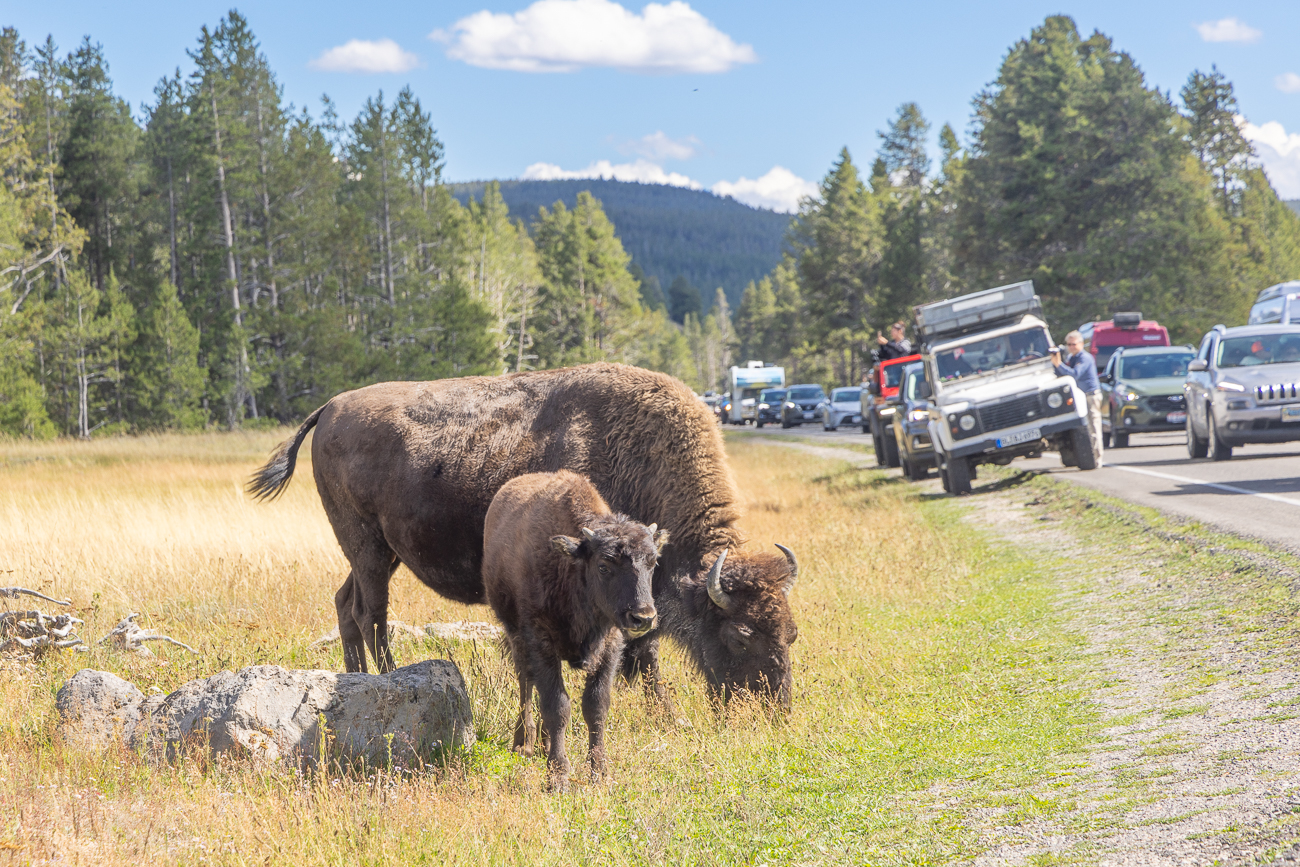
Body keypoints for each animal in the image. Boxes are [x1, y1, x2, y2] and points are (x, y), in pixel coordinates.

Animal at [248, 363, 795, 707]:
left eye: (791, 632)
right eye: (741, 634)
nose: (773, 708)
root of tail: (330, 407)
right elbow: (640, 650)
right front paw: (662, 708)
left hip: (380, 553)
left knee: (346, 603)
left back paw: (356, 678)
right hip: (367, 547)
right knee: (371, 613)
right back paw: (387, 678)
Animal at [488, 470, 670, 790]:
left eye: (653, 562)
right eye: (604, 565)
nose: (643, 617)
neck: (572, 567)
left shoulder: (610, 645)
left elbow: (596, 706)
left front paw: (600, 773)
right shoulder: (540, 641)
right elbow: (557, 706)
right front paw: (558, 776)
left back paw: (543, 744)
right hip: (515, 634)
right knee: (525, 683)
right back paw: (524, 743)